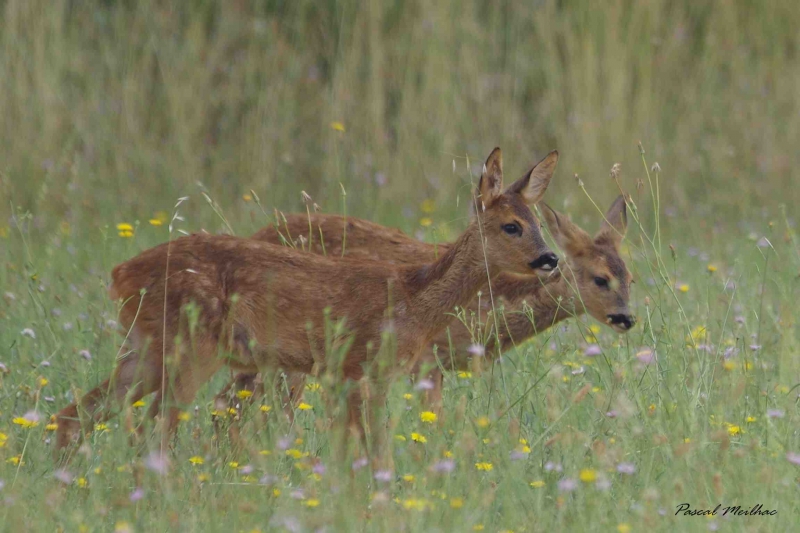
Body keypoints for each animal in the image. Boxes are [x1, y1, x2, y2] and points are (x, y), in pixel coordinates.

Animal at [53, 145, 560, 462]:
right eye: (511, 226)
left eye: (539, 221)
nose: (550, 258)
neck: (413, 299)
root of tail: (120, 275)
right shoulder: (359, 367)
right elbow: (372, 451)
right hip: (188, 346)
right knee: (151, 431)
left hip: (145, 348)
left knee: (76, 415)